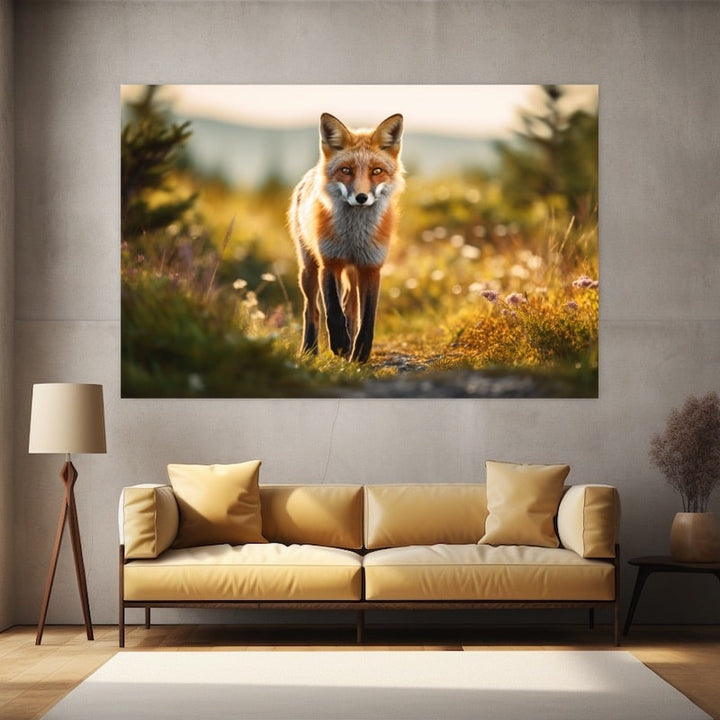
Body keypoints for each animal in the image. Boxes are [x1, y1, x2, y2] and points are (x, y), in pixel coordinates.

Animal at [288, 112, 404, 363]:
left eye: (376, 171)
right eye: (346, 170)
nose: (361, 197)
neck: (354, 238)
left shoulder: (371, 267)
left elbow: (367, 317)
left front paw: (359, 353)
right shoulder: (329, 262)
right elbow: (332, 309)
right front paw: (340, 343)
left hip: (352, 272)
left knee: (350, 307)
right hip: (308, 268)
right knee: (312, 309)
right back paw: (309, 350)